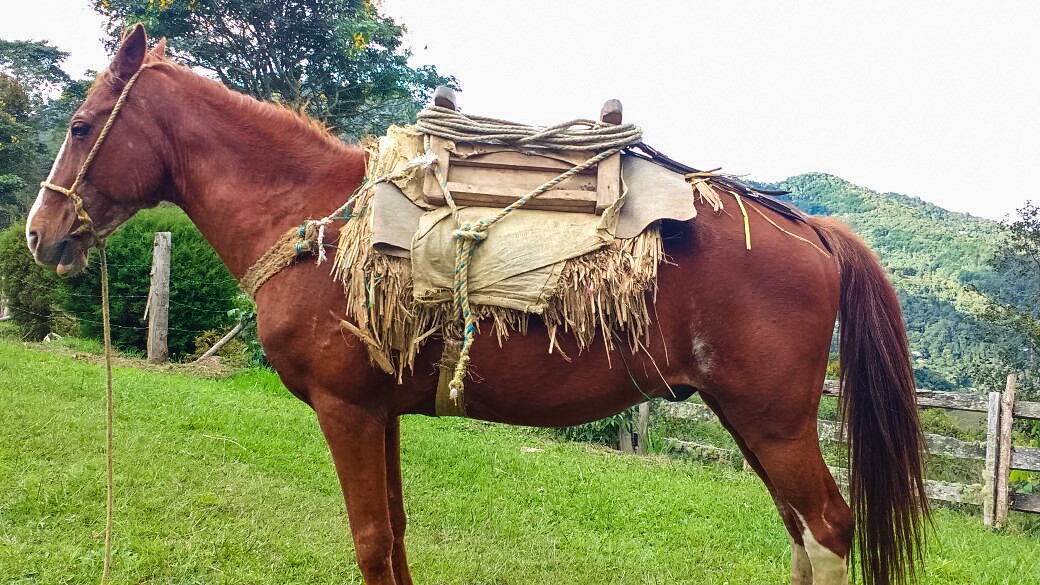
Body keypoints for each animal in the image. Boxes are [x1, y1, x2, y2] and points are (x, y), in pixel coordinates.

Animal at [25, 26, 927, 585]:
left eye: (81, 125)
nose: (39, 233)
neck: (315, 221)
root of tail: (810, 229)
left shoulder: (345, 408)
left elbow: (369, 540)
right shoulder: (377, 409)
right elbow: (394, 535)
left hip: (773, 423)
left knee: (829, 528)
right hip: (751, 420)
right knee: (803, 535)